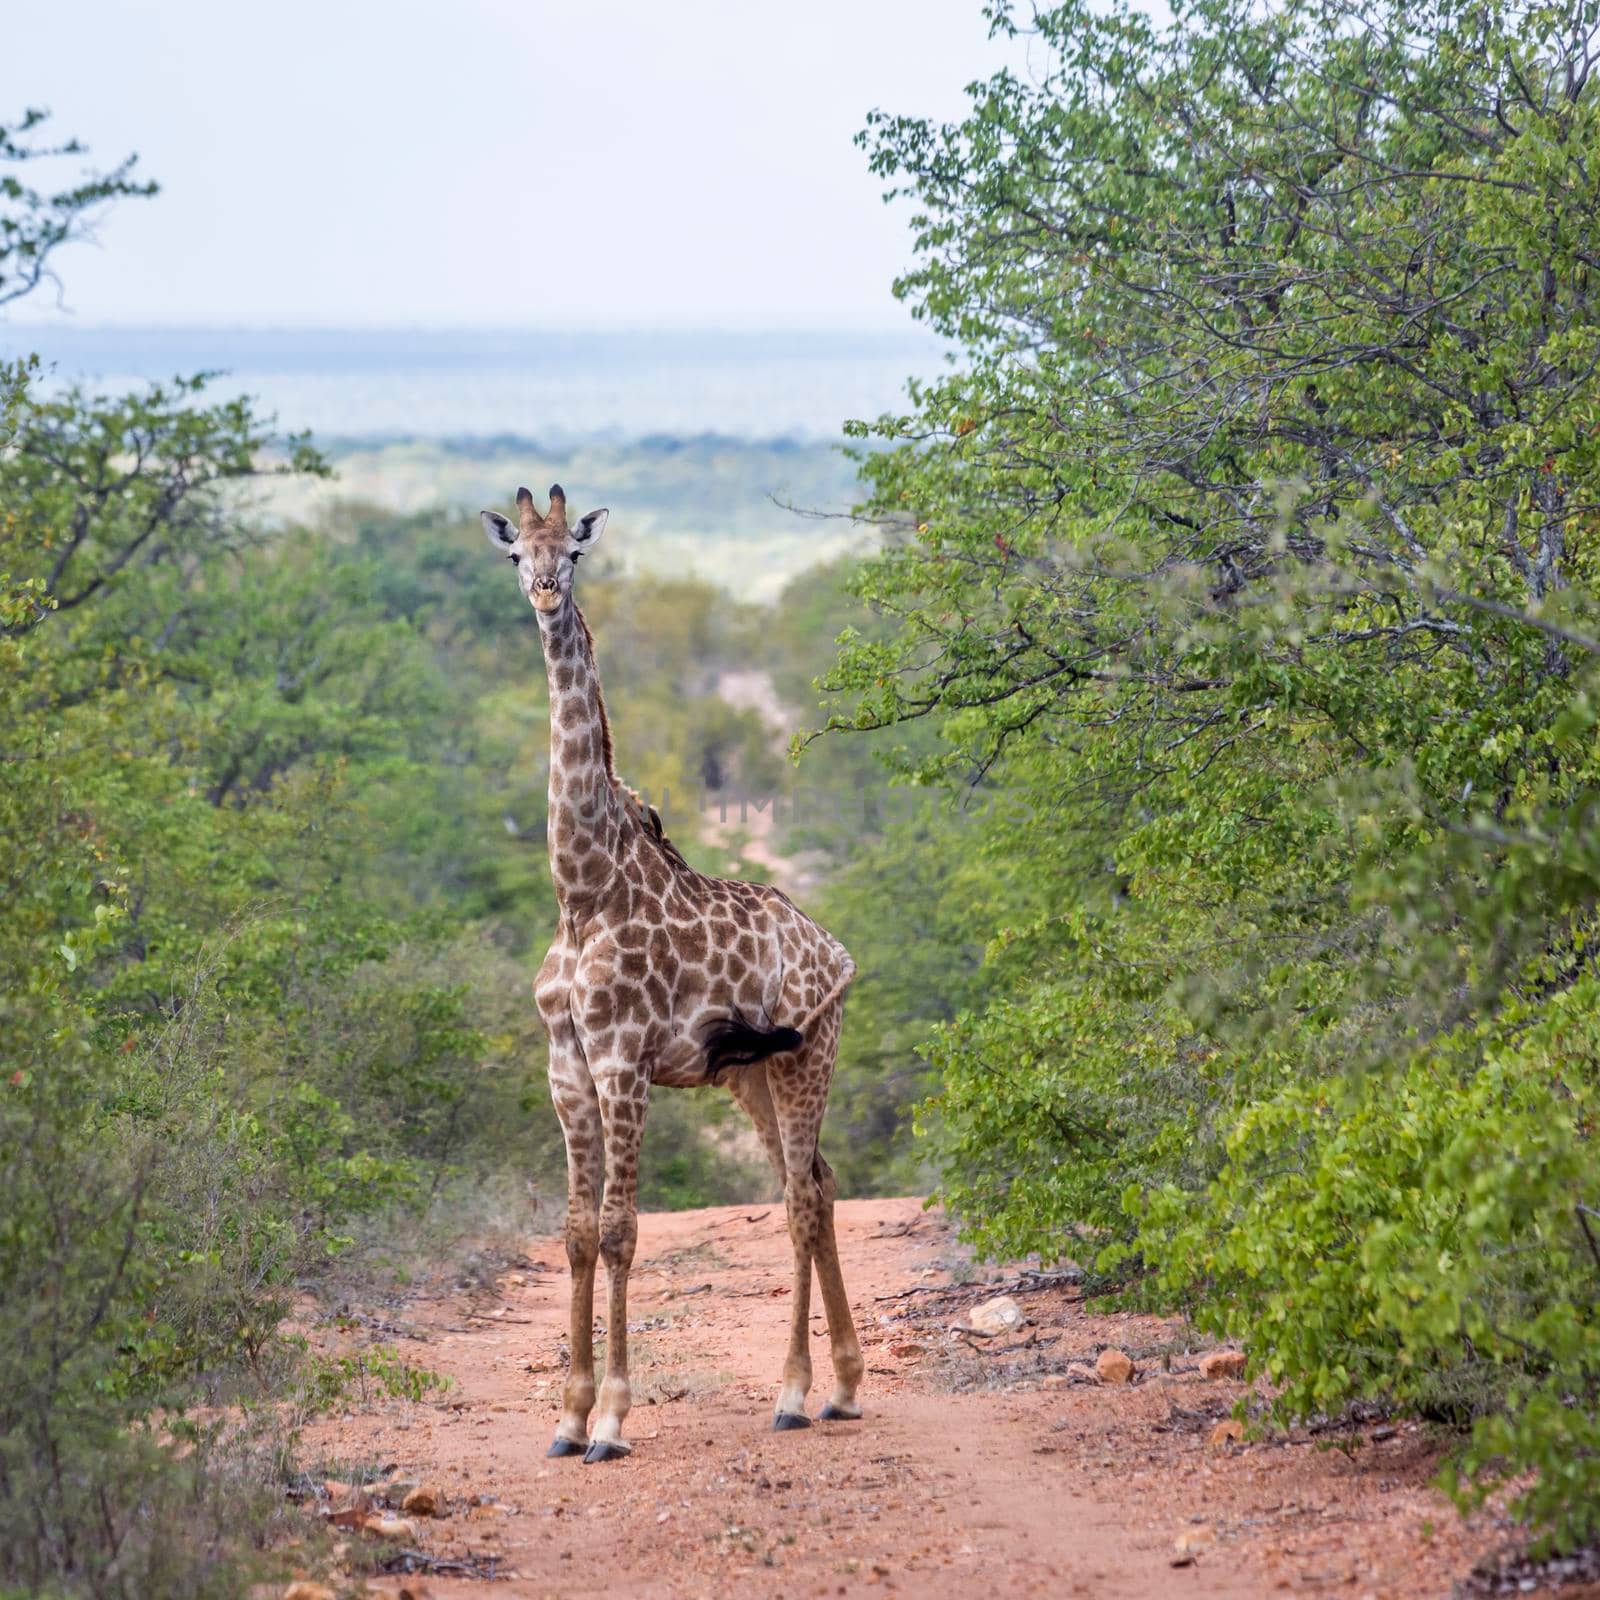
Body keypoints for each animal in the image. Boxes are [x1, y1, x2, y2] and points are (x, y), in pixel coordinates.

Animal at [483, 476, 870, 1465]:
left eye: (574, 551)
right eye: (516, 553)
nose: (545, 593)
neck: (581, 889)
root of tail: (836, 948)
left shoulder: (624, 1060)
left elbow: (622, 1231)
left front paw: (614, 1421)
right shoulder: (567, 1065)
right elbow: (576, 1233)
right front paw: (566, 1417)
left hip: (810, 1055)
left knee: (799, 1199)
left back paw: (792, 1394)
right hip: (753, 1077)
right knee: (818, 1185)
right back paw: (845, 1388)